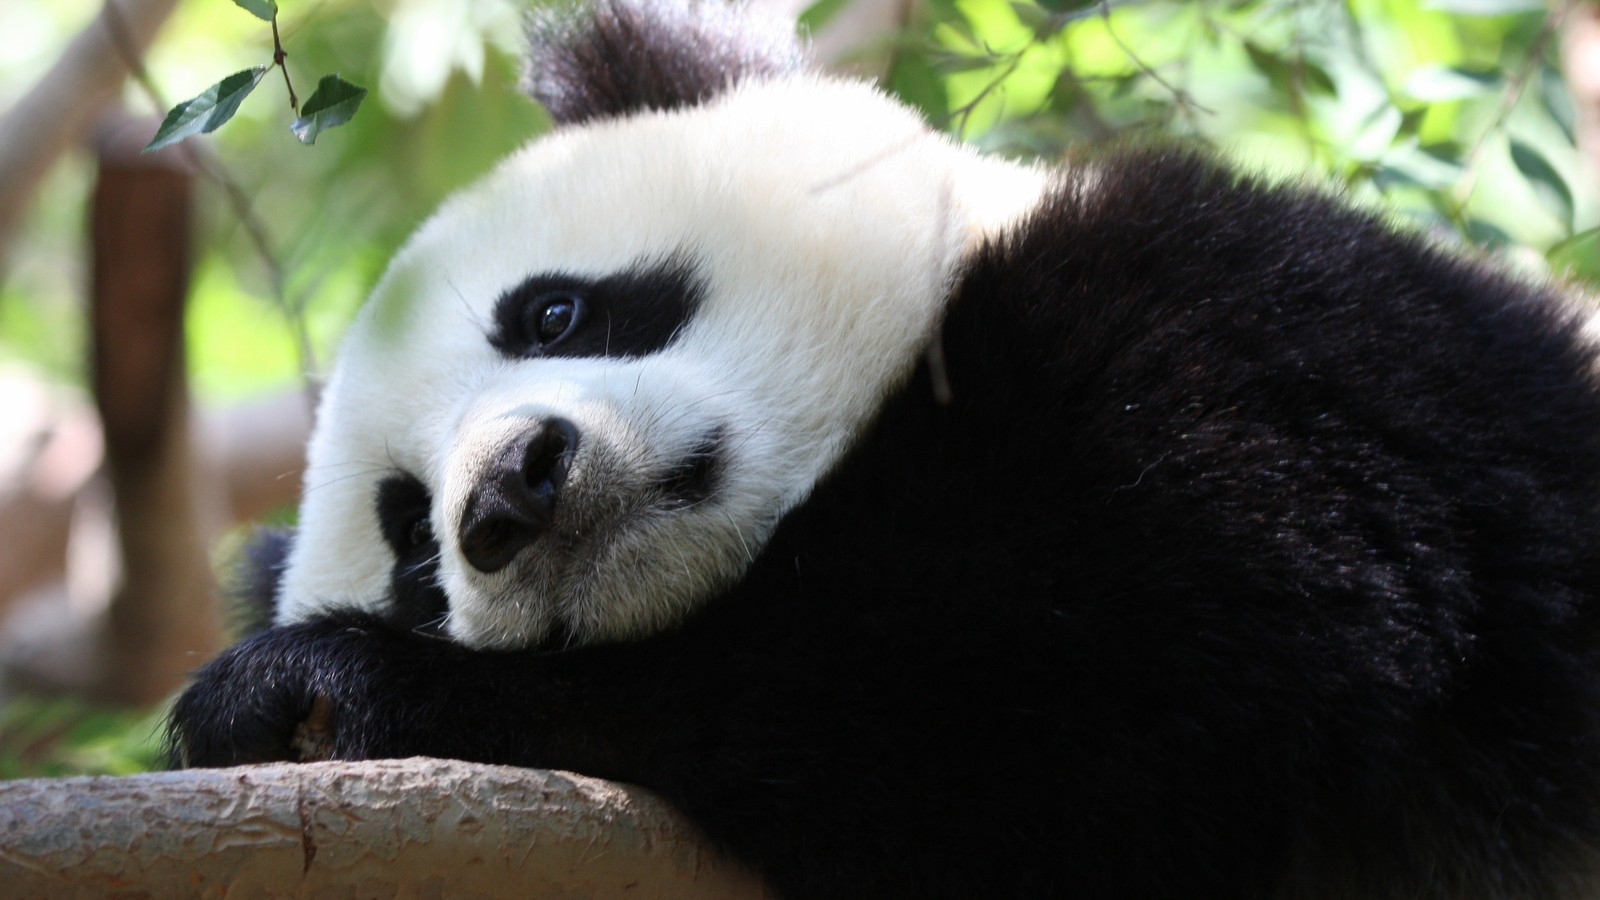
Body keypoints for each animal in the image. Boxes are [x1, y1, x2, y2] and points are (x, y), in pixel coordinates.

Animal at [172, 1, 1600, 896]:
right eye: (415, 548)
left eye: (555, 313)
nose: (511, 494)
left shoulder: (1257, 348)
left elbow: (1075, 684)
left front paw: (318, 687)